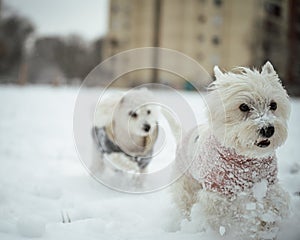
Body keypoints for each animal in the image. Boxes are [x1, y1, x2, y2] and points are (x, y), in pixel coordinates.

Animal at [172, 62, 292, 240]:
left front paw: (266, 229)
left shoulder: (267, 186)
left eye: (274, 105)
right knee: (186, 203)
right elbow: (224, 216)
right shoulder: (216, 193)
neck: (246, 160)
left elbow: (273, 206)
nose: (268, 129)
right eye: (243, 107)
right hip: (187, 183)